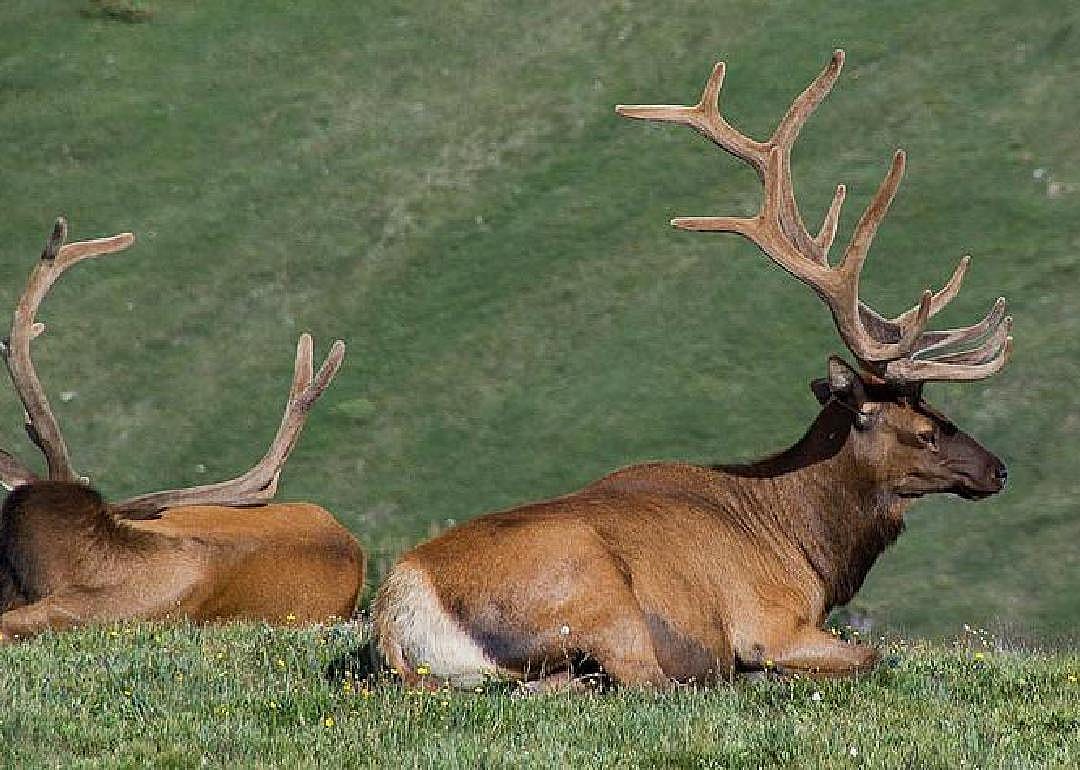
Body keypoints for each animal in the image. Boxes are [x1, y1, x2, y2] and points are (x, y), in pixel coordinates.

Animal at [371, 50, 1012, 690]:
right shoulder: (767, 619)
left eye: (941, 412)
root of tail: (401, 613)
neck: (806, 548)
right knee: (641, 679)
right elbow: (872, 654)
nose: (998, 470)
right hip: (601, 596)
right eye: (925, 433)